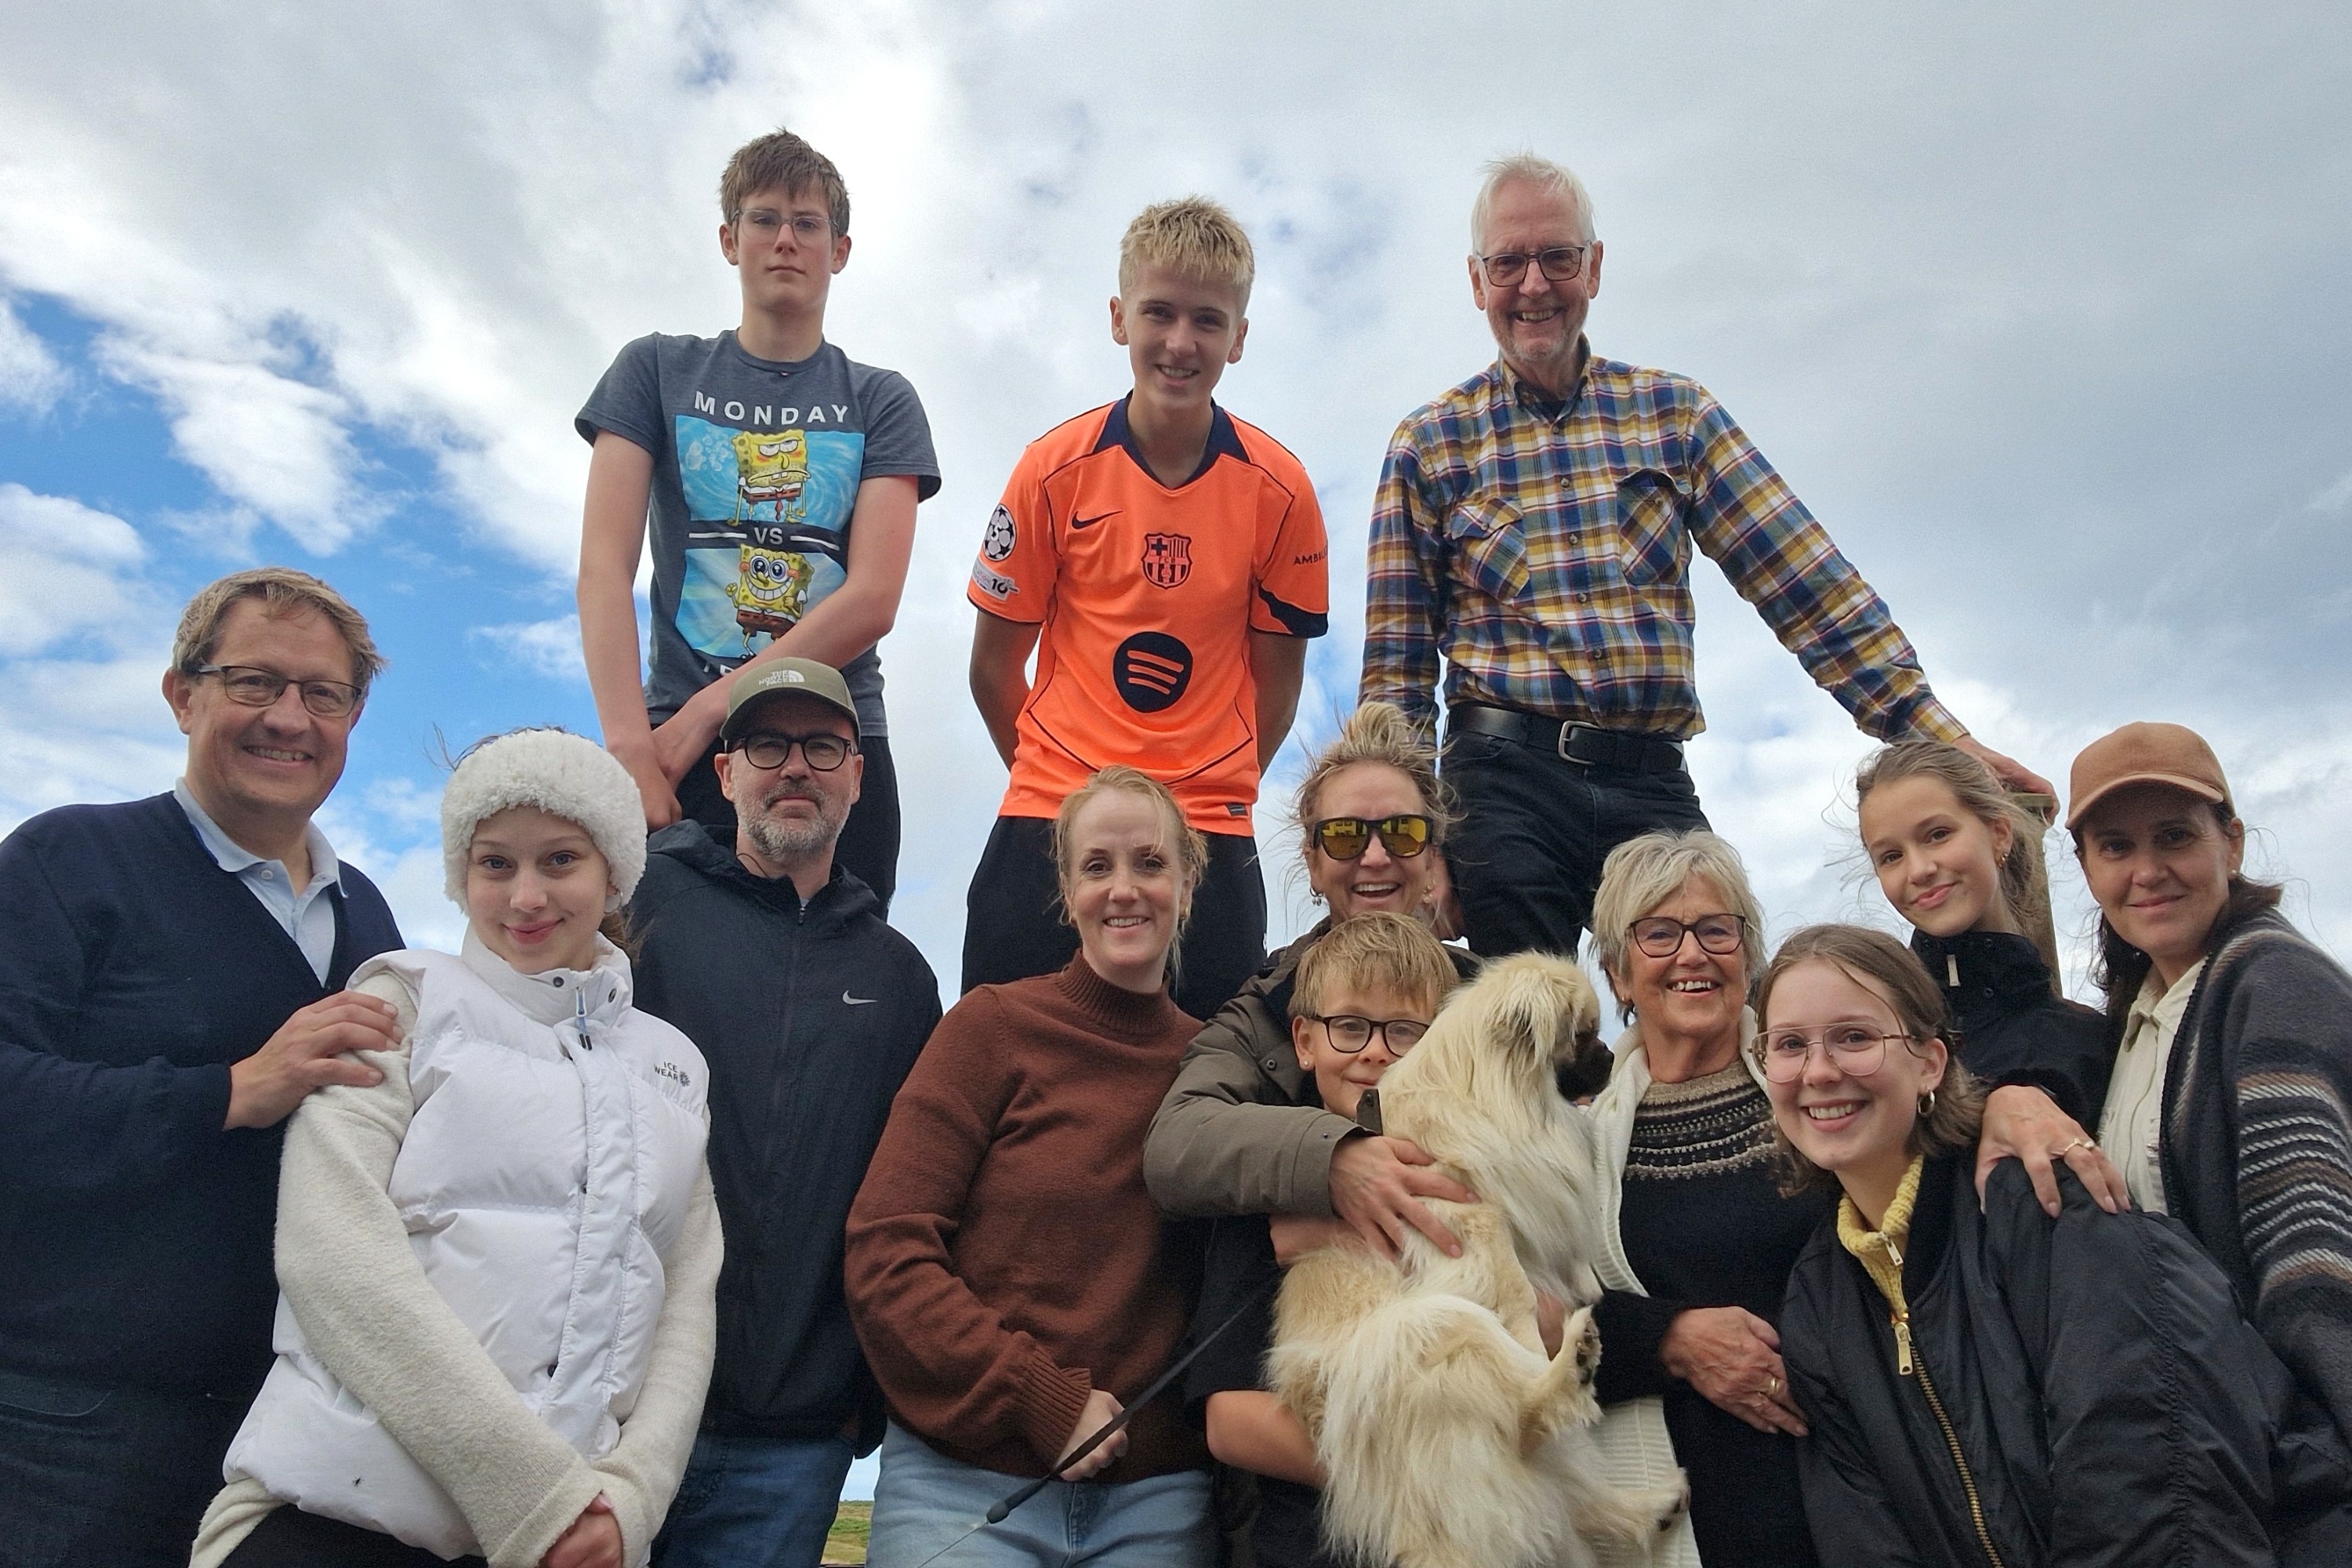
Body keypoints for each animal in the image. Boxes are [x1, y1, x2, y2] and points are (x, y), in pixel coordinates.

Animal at [1266, 953, 1690, 1568]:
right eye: (1581, 1035)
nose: (1611, 1055)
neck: (1500, 1099)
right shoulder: (1471, 1222)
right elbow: (1516, 1290)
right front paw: (1540, 1340)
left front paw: (1586, 1290)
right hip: (1433, 1327)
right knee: (1524, 1414)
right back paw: (1568, 1366)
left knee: (1564, 1492)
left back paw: (1651, 1506)